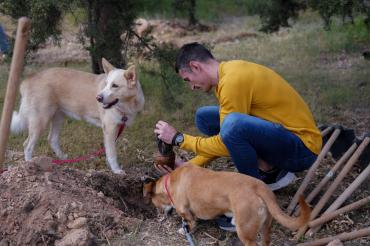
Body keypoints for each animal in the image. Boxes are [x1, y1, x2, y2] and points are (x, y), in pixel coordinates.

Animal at [10, 58, 144, 174]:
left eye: (115, 85)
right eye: (106, 84)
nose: (98, 98)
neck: (126, 105)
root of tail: (29, 78)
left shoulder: (114, 129)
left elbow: (108, 150)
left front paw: (109, 166)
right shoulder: (110, 129)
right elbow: (112, 153)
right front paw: (116, 170)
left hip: (58, 117)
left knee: (52, 139)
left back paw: (63, 158)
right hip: (40, 121)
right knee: (27, 145)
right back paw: (29, 165)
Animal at [143, 163, 310, 246]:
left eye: (155, 204)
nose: (160, 216)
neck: (169, 183)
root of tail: (259, 186)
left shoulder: (185, 211)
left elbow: (189, 222)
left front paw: (185, 230)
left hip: (245, 233)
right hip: (265, 228)